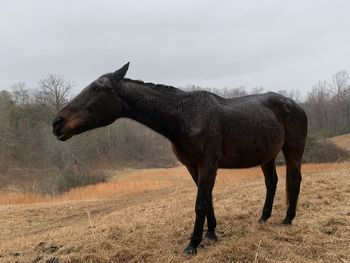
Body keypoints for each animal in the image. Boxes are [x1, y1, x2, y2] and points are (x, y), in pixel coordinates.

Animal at [51, 63, 306, 256]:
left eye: (96, 88)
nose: (57, 123)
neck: (183, 116)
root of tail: (296, 104)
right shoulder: (193, 167)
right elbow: (208, 200)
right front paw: (211, 234)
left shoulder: (208, 165)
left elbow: (200, 203)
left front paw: (192, 245)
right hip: (267, 155)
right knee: (271, 182)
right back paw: (263, 218)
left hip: (292, 151)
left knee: (294, 180)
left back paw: (287, 220)